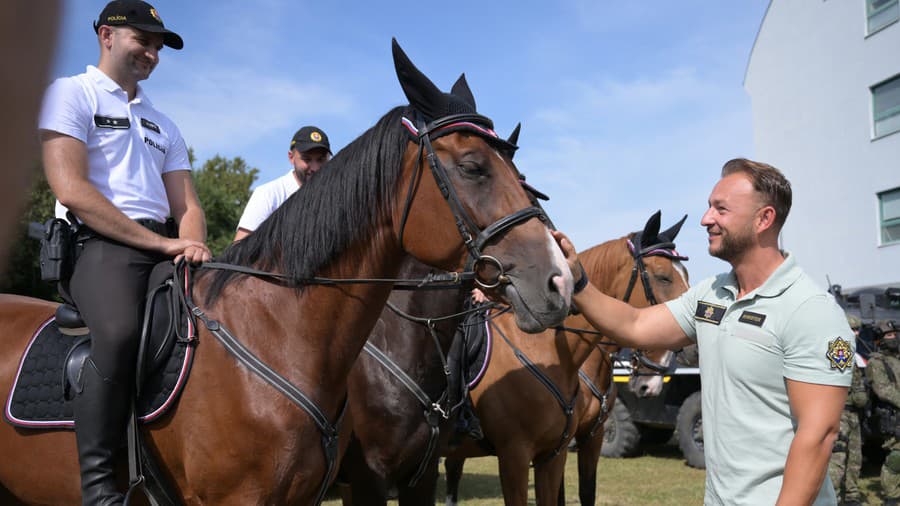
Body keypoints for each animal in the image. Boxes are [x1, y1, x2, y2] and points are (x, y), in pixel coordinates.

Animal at [0, 40, 572, 506]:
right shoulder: (351, 484)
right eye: (474, 167)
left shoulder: (409, 480)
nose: (559, 281)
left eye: (523, 177)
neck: (279, 335)